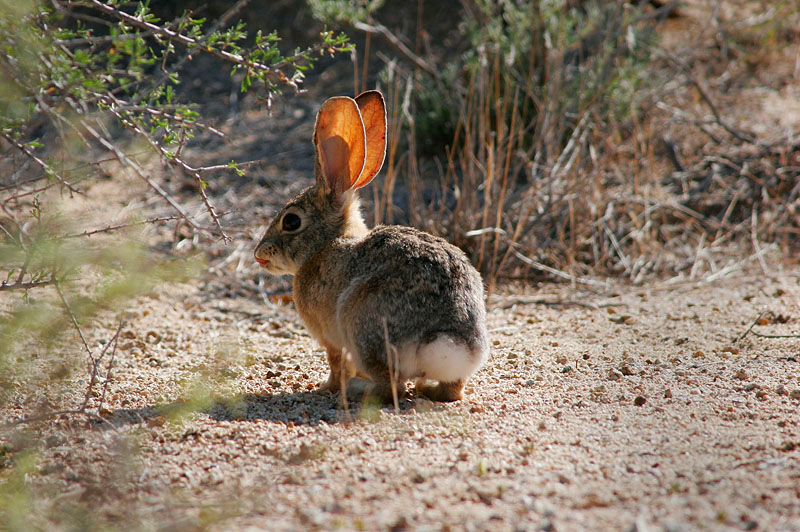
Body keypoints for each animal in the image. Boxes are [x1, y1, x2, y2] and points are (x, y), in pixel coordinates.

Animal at [255, 89, 488, 402]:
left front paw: (325, 387)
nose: (259, 254)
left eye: (291, 221)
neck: (326, 244)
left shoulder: (330, 337)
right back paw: (426, 388)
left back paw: (356, 390)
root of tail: (448, 339)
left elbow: (336, 362)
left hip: (361, 327)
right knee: (452, 390)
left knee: (391, 386)